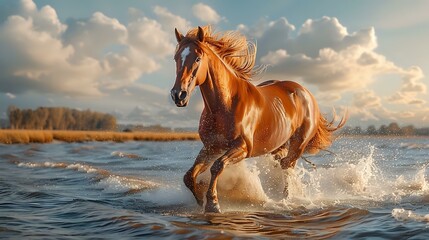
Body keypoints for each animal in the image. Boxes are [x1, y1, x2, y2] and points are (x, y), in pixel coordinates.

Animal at [170, 26, 344, 213]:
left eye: (197, 58)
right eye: (176, 58)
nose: (178, 95)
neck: (225, 104)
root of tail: (306, 93)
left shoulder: (243, 147)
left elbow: (217, 166)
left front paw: (213, 203)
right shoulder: (212, 147)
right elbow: (189, 176)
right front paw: (200, 199)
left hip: (299, 143)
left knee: (287, 167)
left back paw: (286, 199)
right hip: (278, 145)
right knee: (282, 166)